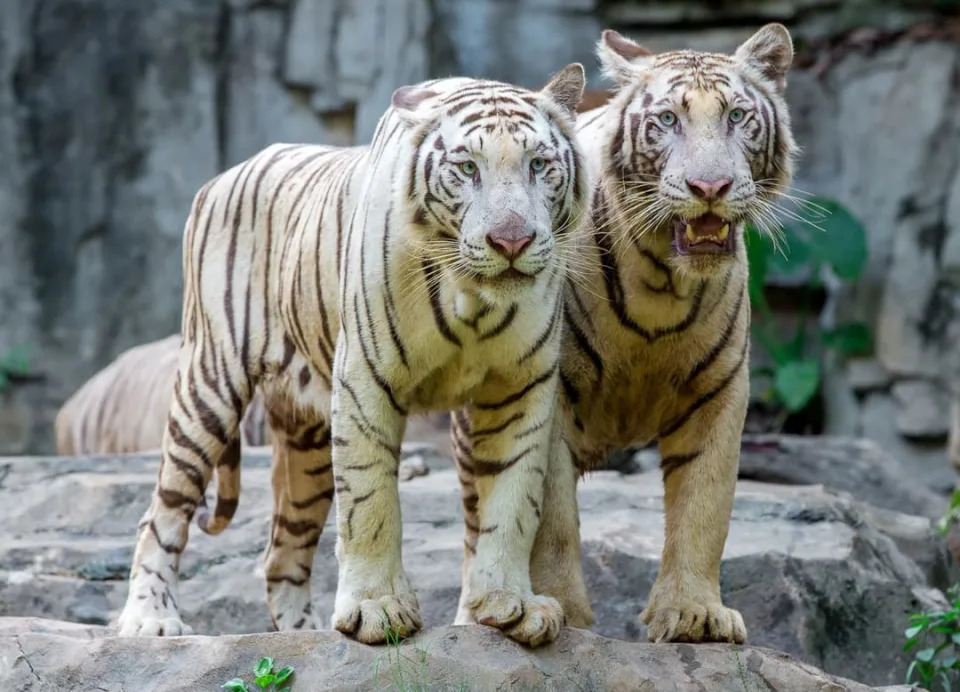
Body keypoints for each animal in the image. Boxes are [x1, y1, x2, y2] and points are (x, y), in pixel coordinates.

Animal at [116, 67, 588, 648]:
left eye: (538, 165)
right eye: (467, 169)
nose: (511, 241)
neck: (473, 302)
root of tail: (221, 178)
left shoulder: (521, 387)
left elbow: (513, 500)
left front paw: (510, 603)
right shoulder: (366, 379)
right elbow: (370, 502)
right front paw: (376, 610)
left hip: (308, 442)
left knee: (283, 556)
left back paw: (305, 633)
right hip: (209, 383)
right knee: (162, 511)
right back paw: (150, 619)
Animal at [454, 25, 800, 644]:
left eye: (737, 116)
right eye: (667, 119)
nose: (710, 185)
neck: (665, 285)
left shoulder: (719, 392)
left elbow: (704, 508)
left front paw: (695, 614)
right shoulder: (551, 392)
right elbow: (550, 518)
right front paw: (564, 612)